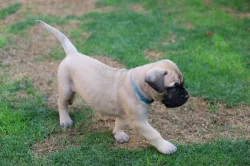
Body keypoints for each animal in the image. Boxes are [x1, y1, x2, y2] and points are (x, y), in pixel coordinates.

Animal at [37, 19, 188, 154]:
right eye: (173, 87)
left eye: (182, 84)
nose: (186, 95)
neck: (139, 86)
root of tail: (73, 53)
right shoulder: (139, 121)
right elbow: (154, 134)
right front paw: (166, 147)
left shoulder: (123, 114)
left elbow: (120, 123)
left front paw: (118, 134)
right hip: (65, 87)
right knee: (61, 103)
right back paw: (65, 120)